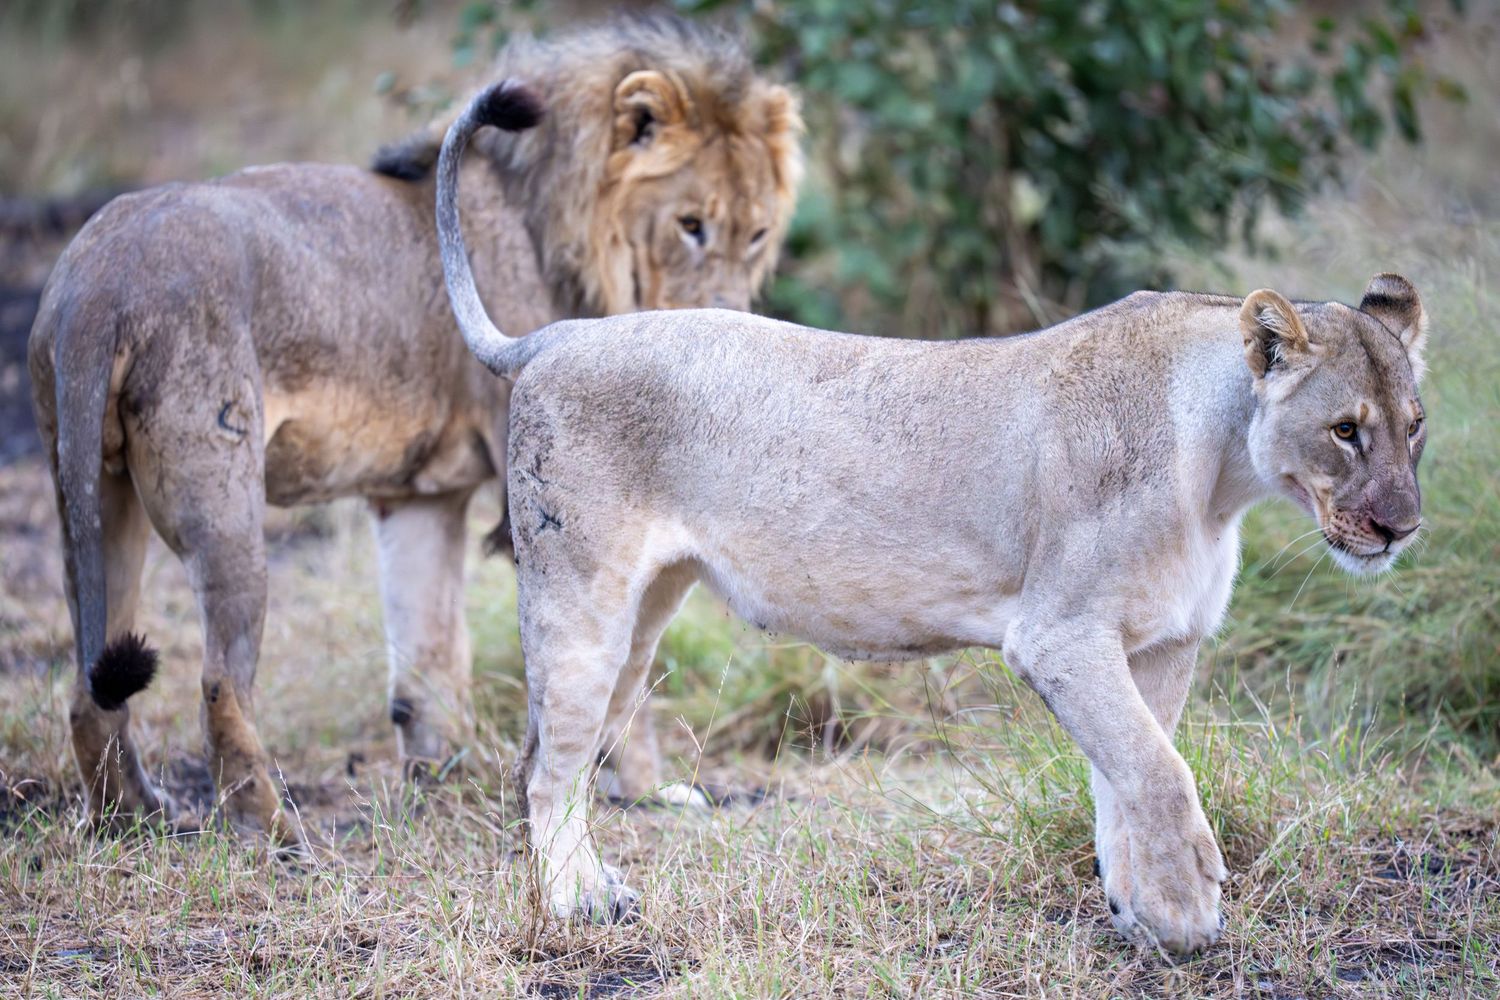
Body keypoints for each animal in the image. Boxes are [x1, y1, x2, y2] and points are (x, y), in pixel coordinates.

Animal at [28, 16, 802, 843]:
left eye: (757, 233)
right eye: (691, 226)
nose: (730, 326)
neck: (560, 226)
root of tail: (97, 283)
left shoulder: (421, 498)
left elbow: (429, 659)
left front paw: (449, 782)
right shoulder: (567, 494)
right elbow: (613, 672)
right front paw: (643, 792)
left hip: (98, 499)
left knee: (89, 689)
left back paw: (133, 819)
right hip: (222, 504)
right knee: (219, 686)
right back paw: (280, 837)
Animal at [435, 81, 1428, 953]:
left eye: (1415, 426)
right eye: (1346, 431)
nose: (1402, 529)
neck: (1221, 474)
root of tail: (557, 335)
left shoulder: (1162, 641)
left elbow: (1125, 778)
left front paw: (1141, 913)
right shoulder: (1060, 634)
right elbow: (1158, 770)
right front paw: (1189, 907)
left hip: (645, 614)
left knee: (559, 761)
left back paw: (596, 887)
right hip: (581, 605)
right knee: (547, 768)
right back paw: (577, 907)